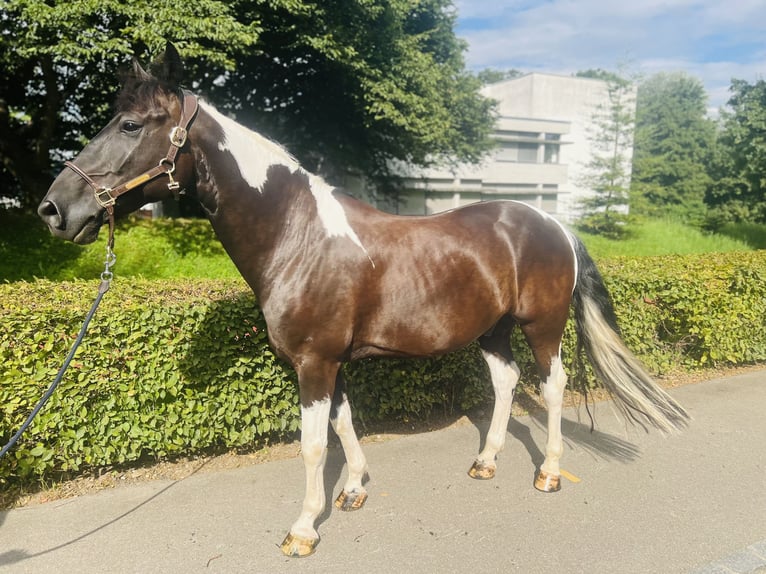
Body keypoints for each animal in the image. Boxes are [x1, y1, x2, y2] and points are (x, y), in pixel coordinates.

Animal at [36, 44, 688, 560]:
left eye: (130, 125)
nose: (53, 209)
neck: (297, 236)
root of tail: (554, 222)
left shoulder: (315, 363)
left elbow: (312, 444)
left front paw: (303, 529)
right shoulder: (332, 362)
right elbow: (345, 424)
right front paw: (353, 491)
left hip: (542, 325)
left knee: (551, 388)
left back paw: (548, 473)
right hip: (494, 330)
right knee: (505, 383)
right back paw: (486, 462)